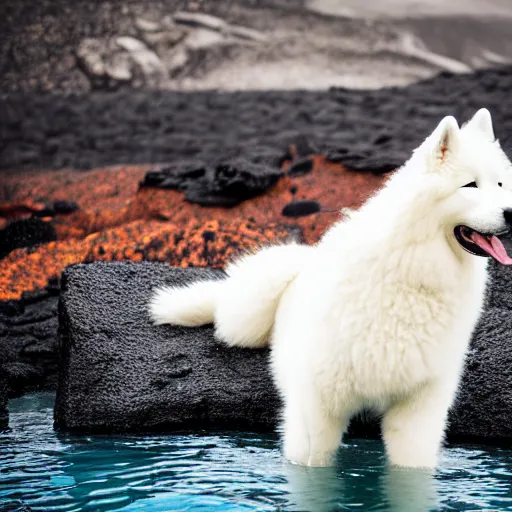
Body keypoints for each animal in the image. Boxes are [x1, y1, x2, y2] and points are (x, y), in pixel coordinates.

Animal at [148, 108, 512, 468]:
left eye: (500, 183)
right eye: (470, 185)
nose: (511, 212)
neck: (412, 267)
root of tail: (305, 259)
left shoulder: (418, 406)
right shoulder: (317, 405)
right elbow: (313, 466)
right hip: (250, 310)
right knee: (224, 307)